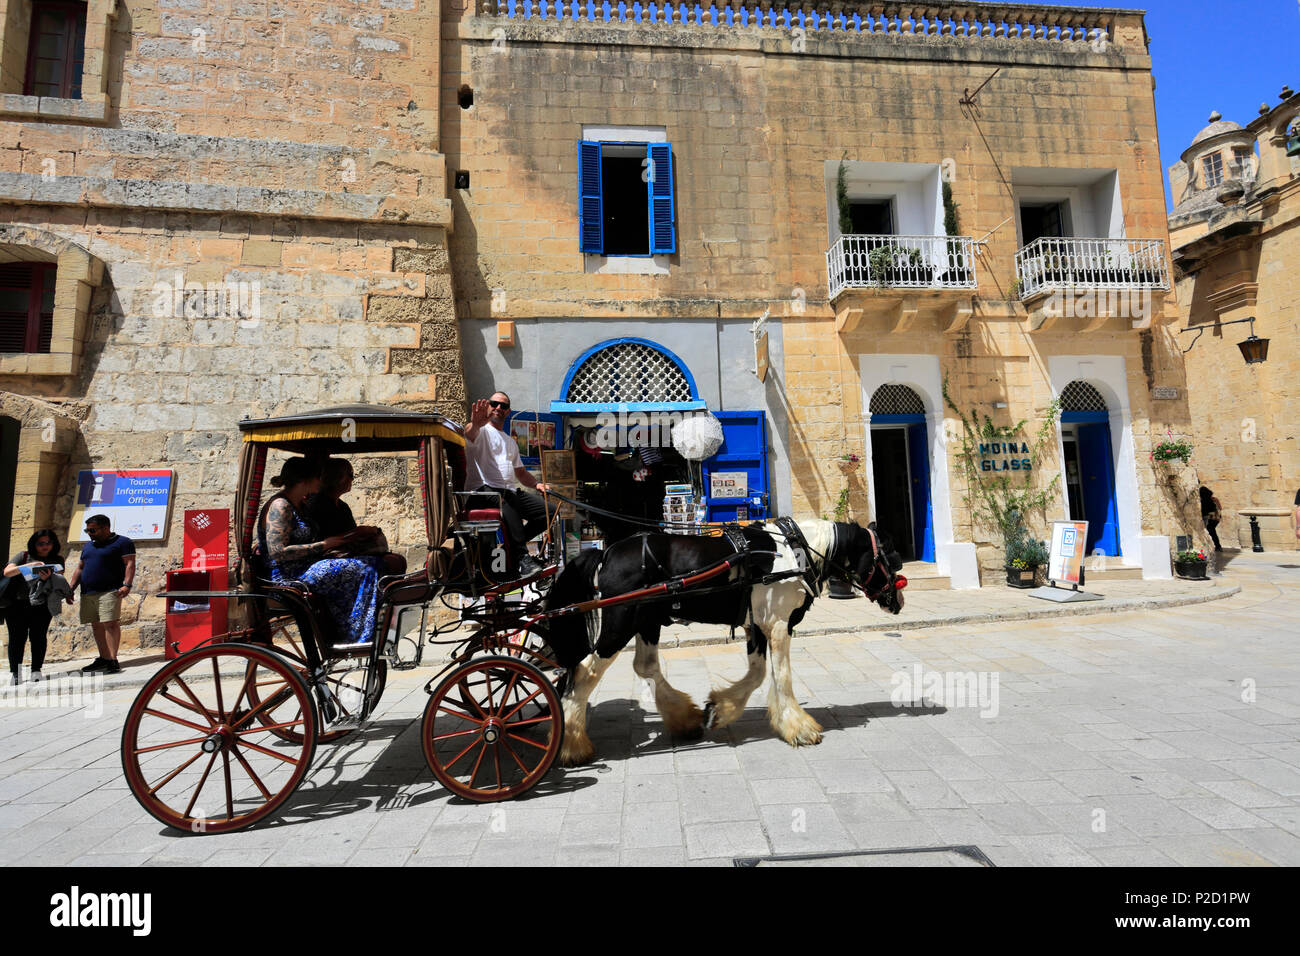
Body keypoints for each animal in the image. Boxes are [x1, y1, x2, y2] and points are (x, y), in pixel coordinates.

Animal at [538, 520, 904, 764]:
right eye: (892, 558)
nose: (898, 600)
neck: (794, 552)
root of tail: (605, 553)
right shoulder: (778, 625)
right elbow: (782, 677)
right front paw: (799, 728)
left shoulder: (757, 627)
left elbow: (758, 675)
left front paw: (718, 710)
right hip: (620, 623)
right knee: (584, 672)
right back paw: (572, 744)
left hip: (647, 621)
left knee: (644, 665)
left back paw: (683, 717)